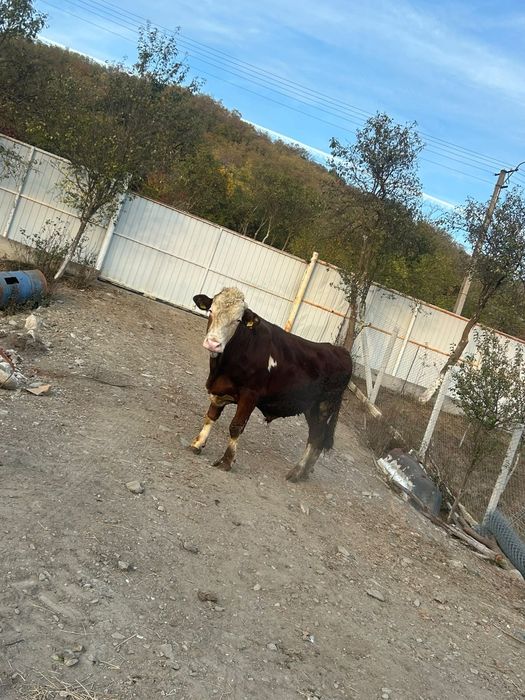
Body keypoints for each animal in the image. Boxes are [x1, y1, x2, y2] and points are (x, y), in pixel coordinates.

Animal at [191, 287, 353, 482]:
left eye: (237, 320)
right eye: (211, 311)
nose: (213, 343)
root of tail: (340, 351)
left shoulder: (250, 395)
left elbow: (236, 427)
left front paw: (226, 461)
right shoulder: (219, 390)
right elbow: (211, 416)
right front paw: (198, 443)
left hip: (323, 407)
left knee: (316, 438)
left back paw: (297, 472)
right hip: (312, 408)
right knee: (317, 440)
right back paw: (305, 472)